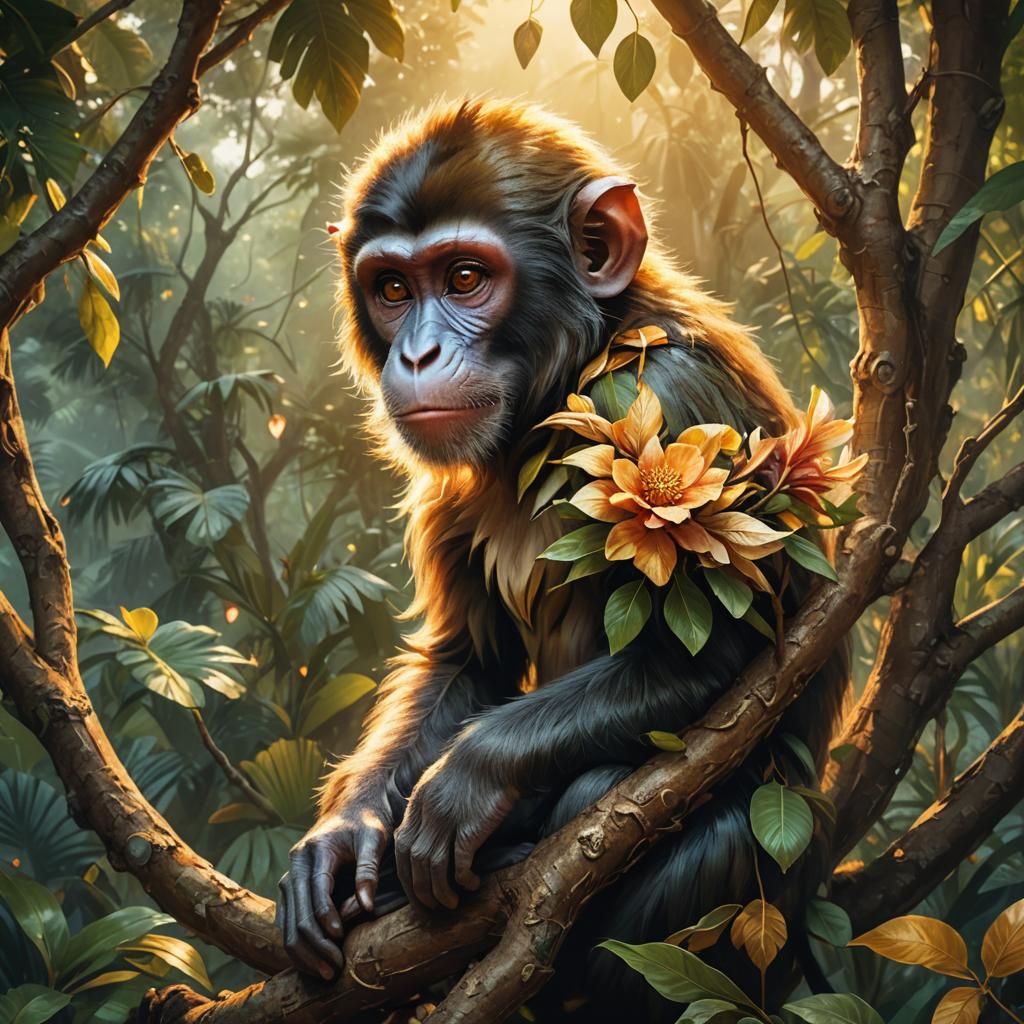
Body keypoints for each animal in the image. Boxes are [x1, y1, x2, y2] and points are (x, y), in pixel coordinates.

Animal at [275, 99, 848, 1020]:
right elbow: (467, 657)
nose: (418, 354)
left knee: (708, 823)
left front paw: (466, 780)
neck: (569, 374)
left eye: (465, 278)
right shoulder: (456, 480)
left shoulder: (677, 410)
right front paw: (343, 836)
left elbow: (714, 653)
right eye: (393, 289)